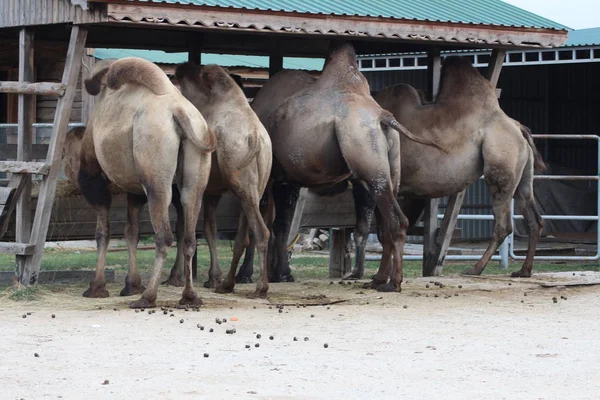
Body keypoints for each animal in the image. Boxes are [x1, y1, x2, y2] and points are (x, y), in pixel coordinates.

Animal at [165, 63, 274, 296]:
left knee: (261, 231)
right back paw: (228, 284)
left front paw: (178, 278)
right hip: (255, 185)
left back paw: (260, 287)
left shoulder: (196, 187)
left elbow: (192, 228)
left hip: (241, 182)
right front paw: (214, 278)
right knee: (244, 236)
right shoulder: (212, 191)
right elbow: (210, 228)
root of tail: (256, 137)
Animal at [250, 42, 446, 290]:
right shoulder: (289, 180)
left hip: (368, 158)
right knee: (384, 224)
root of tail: (384, 118)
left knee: (396, 220)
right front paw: (284, 273)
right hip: (389, 167)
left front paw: (278, 274)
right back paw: (377, 279)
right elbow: (284, 226)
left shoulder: (276, 177)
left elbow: (277, 225)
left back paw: (393, 283)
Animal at [344, 55, 548, 284]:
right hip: (523, 175)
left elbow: (373, 230)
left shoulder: (371, 182)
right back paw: (524, 270)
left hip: (501, 167)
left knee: (503, 223)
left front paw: (367, 274)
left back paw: (475, 268)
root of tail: (519, 128)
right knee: (533, 217)